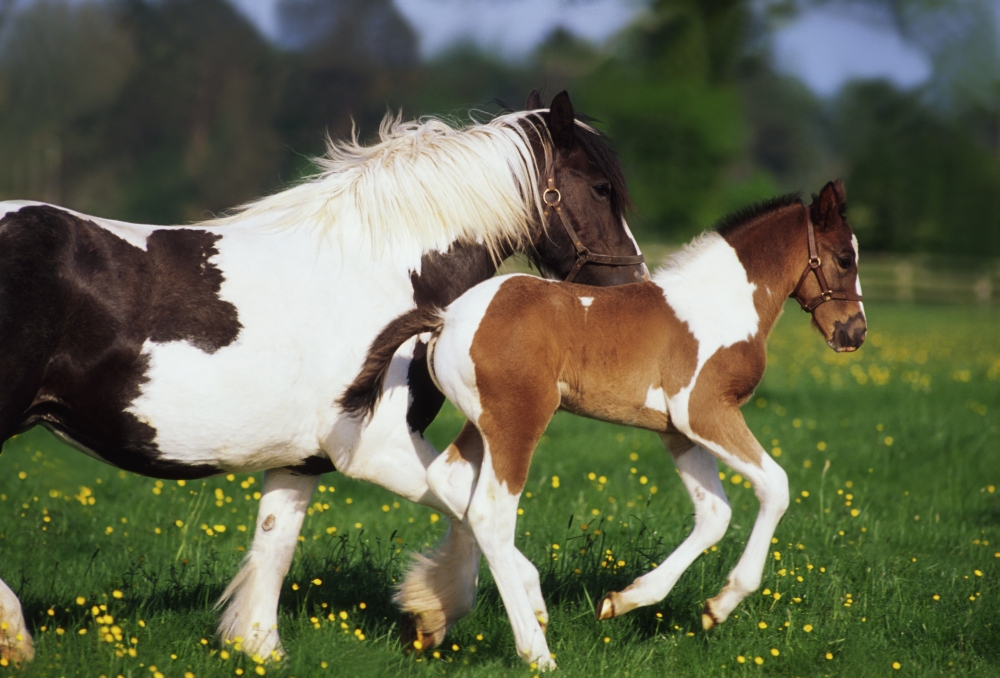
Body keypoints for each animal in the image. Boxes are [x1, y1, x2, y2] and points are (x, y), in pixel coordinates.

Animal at [0, 90, 648, 664]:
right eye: (601, 188)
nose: (633, 291)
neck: (382, 274)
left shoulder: (300, 460)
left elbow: (275, 545)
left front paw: (260, 645)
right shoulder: (374, 447)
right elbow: (469, 509)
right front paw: (455, 609)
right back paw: (16, 636)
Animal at [342, 180, 866, 669]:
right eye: (844, 259)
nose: (854, 333)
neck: (718, 305)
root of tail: (445, 318)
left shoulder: (677, 430)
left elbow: (714, 514)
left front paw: (627, 600)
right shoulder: (706, 411)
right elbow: (775, 486)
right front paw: (722, 603)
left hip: (484, 423)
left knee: (448, 484)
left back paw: (483, 607)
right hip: (518, 421)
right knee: (490, 514)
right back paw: (537, 651)